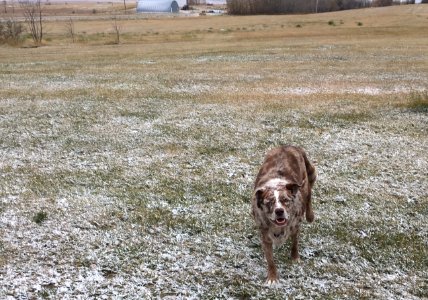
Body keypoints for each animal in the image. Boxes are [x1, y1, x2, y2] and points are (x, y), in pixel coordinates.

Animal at [251, 145, 314, 286]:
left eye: (285, 200)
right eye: (269, 202)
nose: (279, 211)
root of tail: (288, 145)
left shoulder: (295, 225)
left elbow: (295, 242)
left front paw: (295, 257)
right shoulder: (265, 235)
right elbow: (270, 260)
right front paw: (272, 278)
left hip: (307, 180)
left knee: (309, 196)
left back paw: (310, 215)